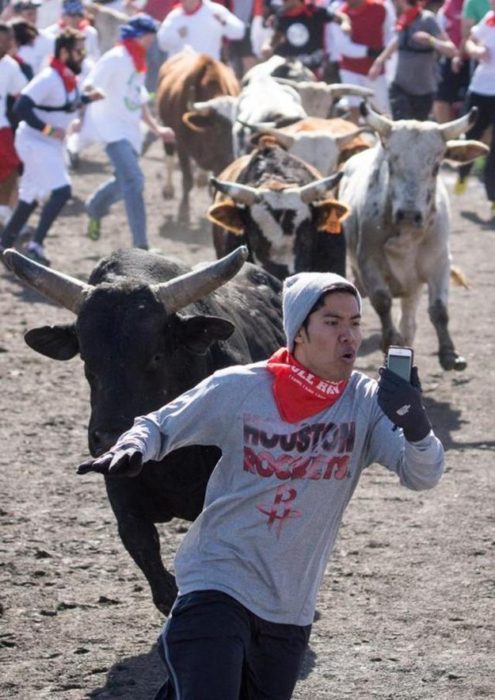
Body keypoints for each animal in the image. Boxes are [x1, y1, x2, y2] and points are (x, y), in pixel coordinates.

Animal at [340, 104, 490, 372]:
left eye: (436, 166)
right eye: (391, 163)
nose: (409, 214)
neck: (407, 238)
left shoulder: (439, 263)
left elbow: (439, 309)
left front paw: (449, 354)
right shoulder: (368, 261)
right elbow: (382, 300)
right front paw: (390, 340)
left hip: (413, 288)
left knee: (409, 323)